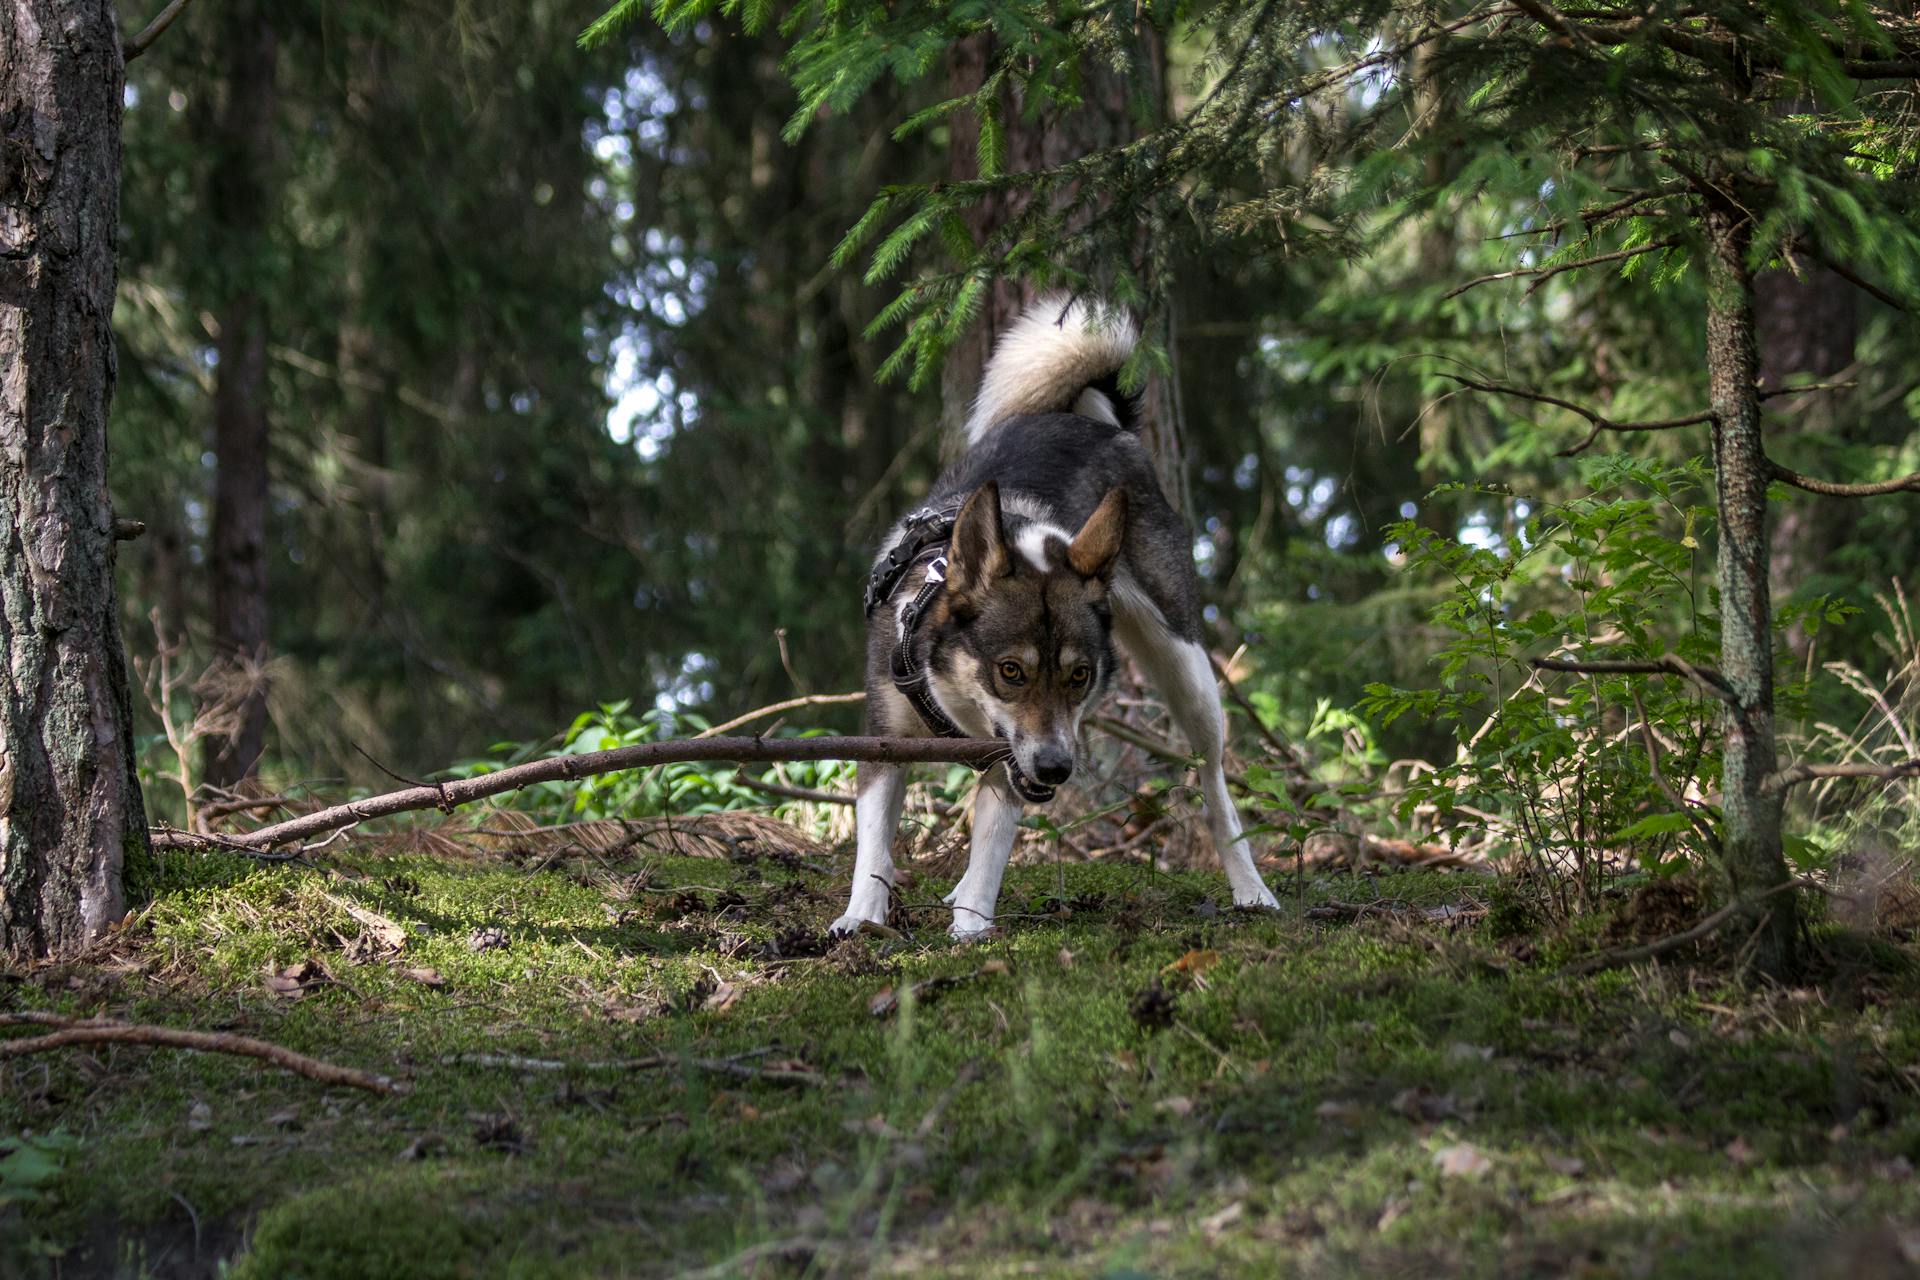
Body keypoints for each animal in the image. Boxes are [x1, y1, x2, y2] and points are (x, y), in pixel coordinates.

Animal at [833, 301, 1282, 940]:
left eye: (1079, 676)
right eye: (1010, 671)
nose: (1056, 769)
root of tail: (1094, 423)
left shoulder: (1013, 760)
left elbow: (990, 846)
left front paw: (971, 926)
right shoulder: (885, 741)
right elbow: (874, 843)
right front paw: (861, 917)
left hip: (1185, 665)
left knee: (1215, 781)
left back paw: (1250, 887)